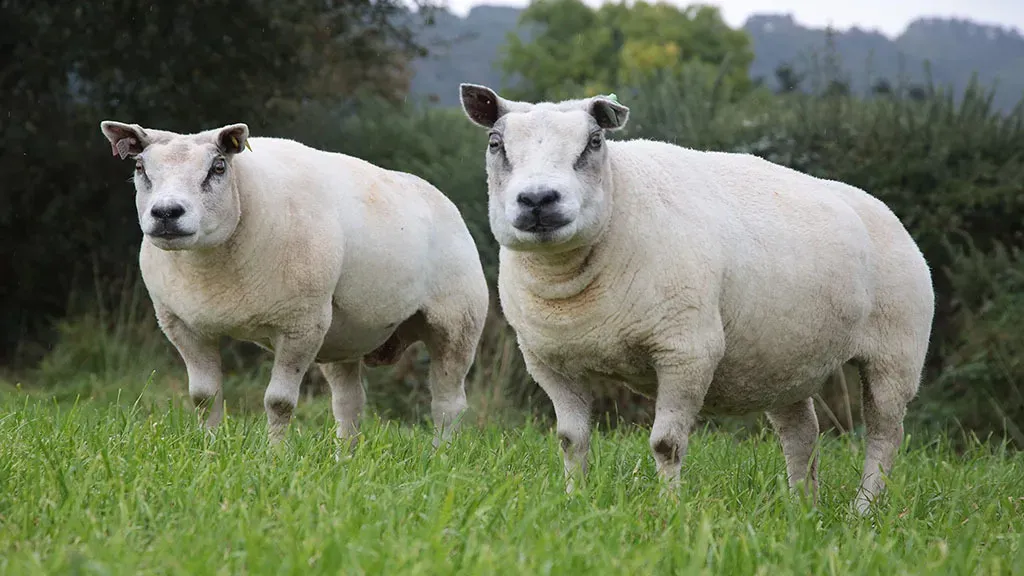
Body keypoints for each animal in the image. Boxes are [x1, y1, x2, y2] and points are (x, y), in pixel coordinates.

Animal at [97, 119, 489, 444]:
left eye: (218, 167)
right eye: (140, 167)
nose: (166, 213)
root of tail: (439, 198)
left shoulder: (300, 325)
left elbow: (279, 402)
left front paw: (274, 458)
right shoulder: (182, 325)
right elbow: (204, 399)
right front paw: (207, 452)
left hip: (456, 323)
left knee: (447, 405)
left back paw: (440, 457)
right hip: (343, 334)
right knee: (349, 403)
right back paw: (344, 460)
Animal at [460, 81, 933, 510]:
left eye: (594, 142)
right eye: (495, 143)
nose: (538, 199)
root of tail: (881, 209)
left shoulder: (687, 351)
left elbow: (666, 444)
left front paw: (670, 511)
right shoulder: (549, 361)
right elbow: (569, 440)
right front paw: (574, 501)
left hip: (896, 354)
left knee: (885, 437)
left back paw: (863, 510)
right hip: (785, 360)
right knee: (802, 434)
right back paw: (801, 510)